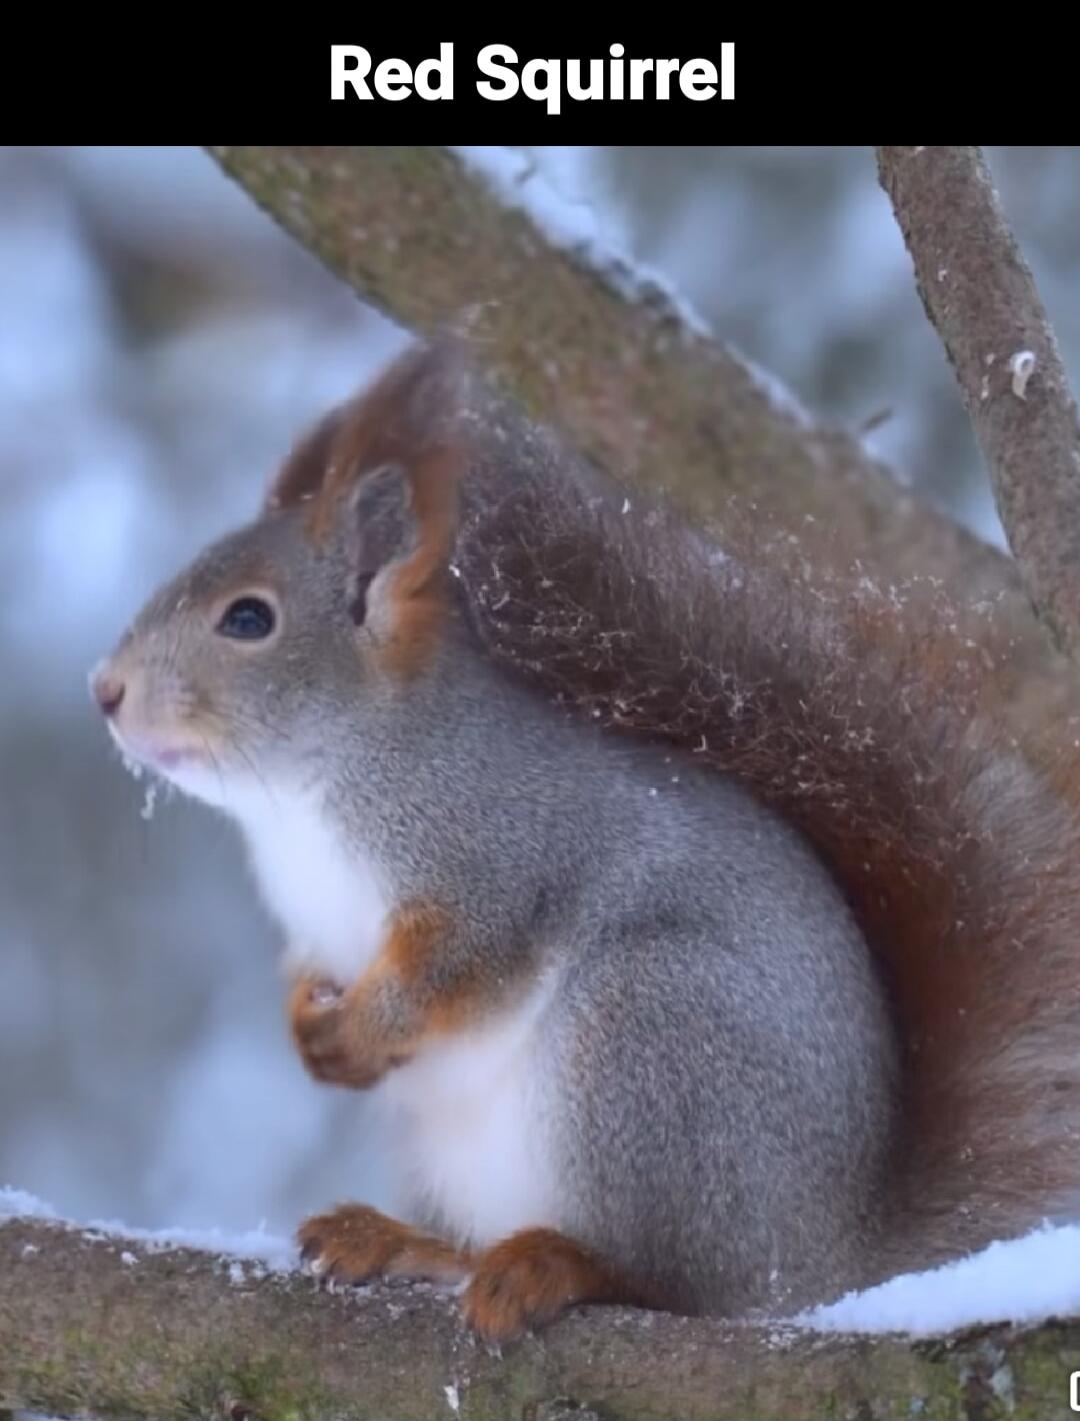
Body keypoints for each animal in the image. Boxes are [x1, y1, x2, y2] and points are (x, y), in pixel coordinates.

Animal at [90, 337, 1080, 1341]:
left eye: (248, 618)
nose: (106, 690)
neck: (305, 795)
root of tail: (827, 1255)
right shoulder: (315, 925)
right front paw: (309, 1032)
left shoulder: (495, 854)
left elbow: (455, 967)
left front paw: (363, 1032)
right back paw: (396, 1239)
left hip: (647, 1039)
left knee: (669, 1280)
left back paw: (557, 1263)